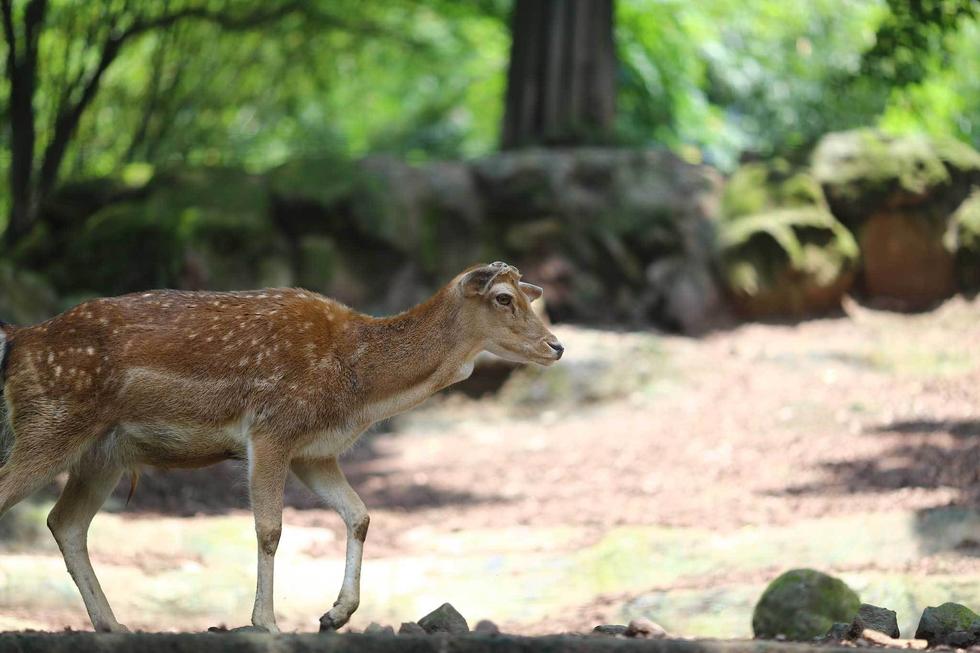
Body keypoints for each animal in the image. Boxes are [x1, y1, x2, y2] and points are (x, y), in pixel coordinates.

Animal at [0, 260, 564, 632]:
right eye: (504, 298)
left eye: (528, 295)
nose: (556, 346)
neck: (358, 386)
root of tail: (19, 339)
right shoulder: (271, 430)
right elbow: (270, 528)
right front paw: (266, 623)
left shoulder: (314, 452)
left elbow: (359, 514)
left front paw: (334, 615)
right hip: (48, 426)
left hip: (102, 455)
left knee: (65, 522)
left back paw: (113, 626)